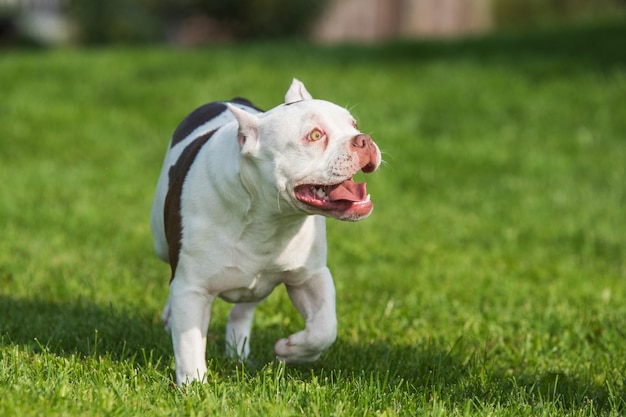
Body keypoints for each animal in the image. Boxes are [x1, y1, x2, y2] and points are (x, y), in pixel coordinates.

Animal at [150, 78, 380, 384]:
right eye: (315, 135)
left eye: (353, 124)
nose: (363, 139)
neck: (269, 217)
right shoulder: (191, 288)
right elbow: (189, 345)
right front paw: (193, 387)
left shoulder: (310, 277)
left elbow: (324, 329)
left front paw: (291, 349)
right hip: (161, 243)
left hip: (257, 284)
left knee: (243, 310)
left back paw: (238, 351)